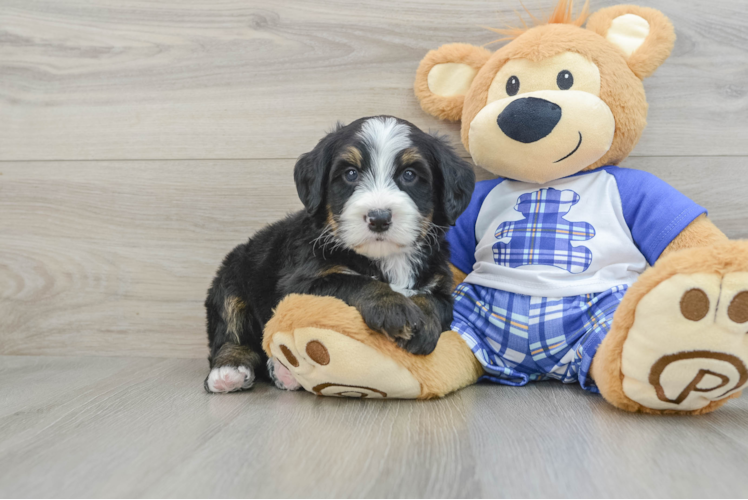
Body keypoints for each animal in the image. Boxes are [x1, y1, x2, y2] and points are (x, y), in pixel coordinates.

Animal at [203, 115, 474, 392]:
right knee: (230, 331)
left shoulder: (441, 284)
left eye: (409, 174)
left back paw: (283, 372)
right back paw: (230, 370)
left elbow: (434, 302)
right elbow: (355, 282)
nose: (379, 218)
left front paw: (422, 325)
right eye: (350, 173)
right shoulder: (300, 284)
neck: (386, 259)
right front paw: (395, 308)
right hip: (231, 277)